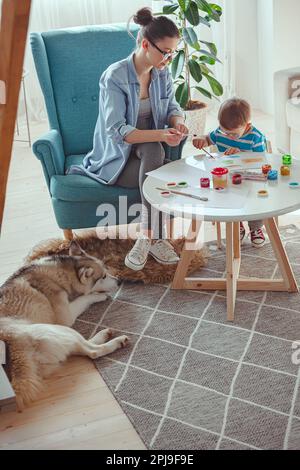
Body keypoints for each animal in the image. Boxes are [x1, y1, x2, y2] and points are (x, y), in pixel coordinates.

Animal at [0, 242, 127, 408]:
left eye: (107, 270)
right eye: (103, 276)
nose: (119, 281)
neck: (60, 273)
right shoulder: (66, 315)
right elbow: (84, 298)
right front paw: (99, 296)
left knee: (83, 347)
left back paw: (103, 335)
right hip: (57, 328)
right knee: (92, 351)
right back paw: (116, 340)